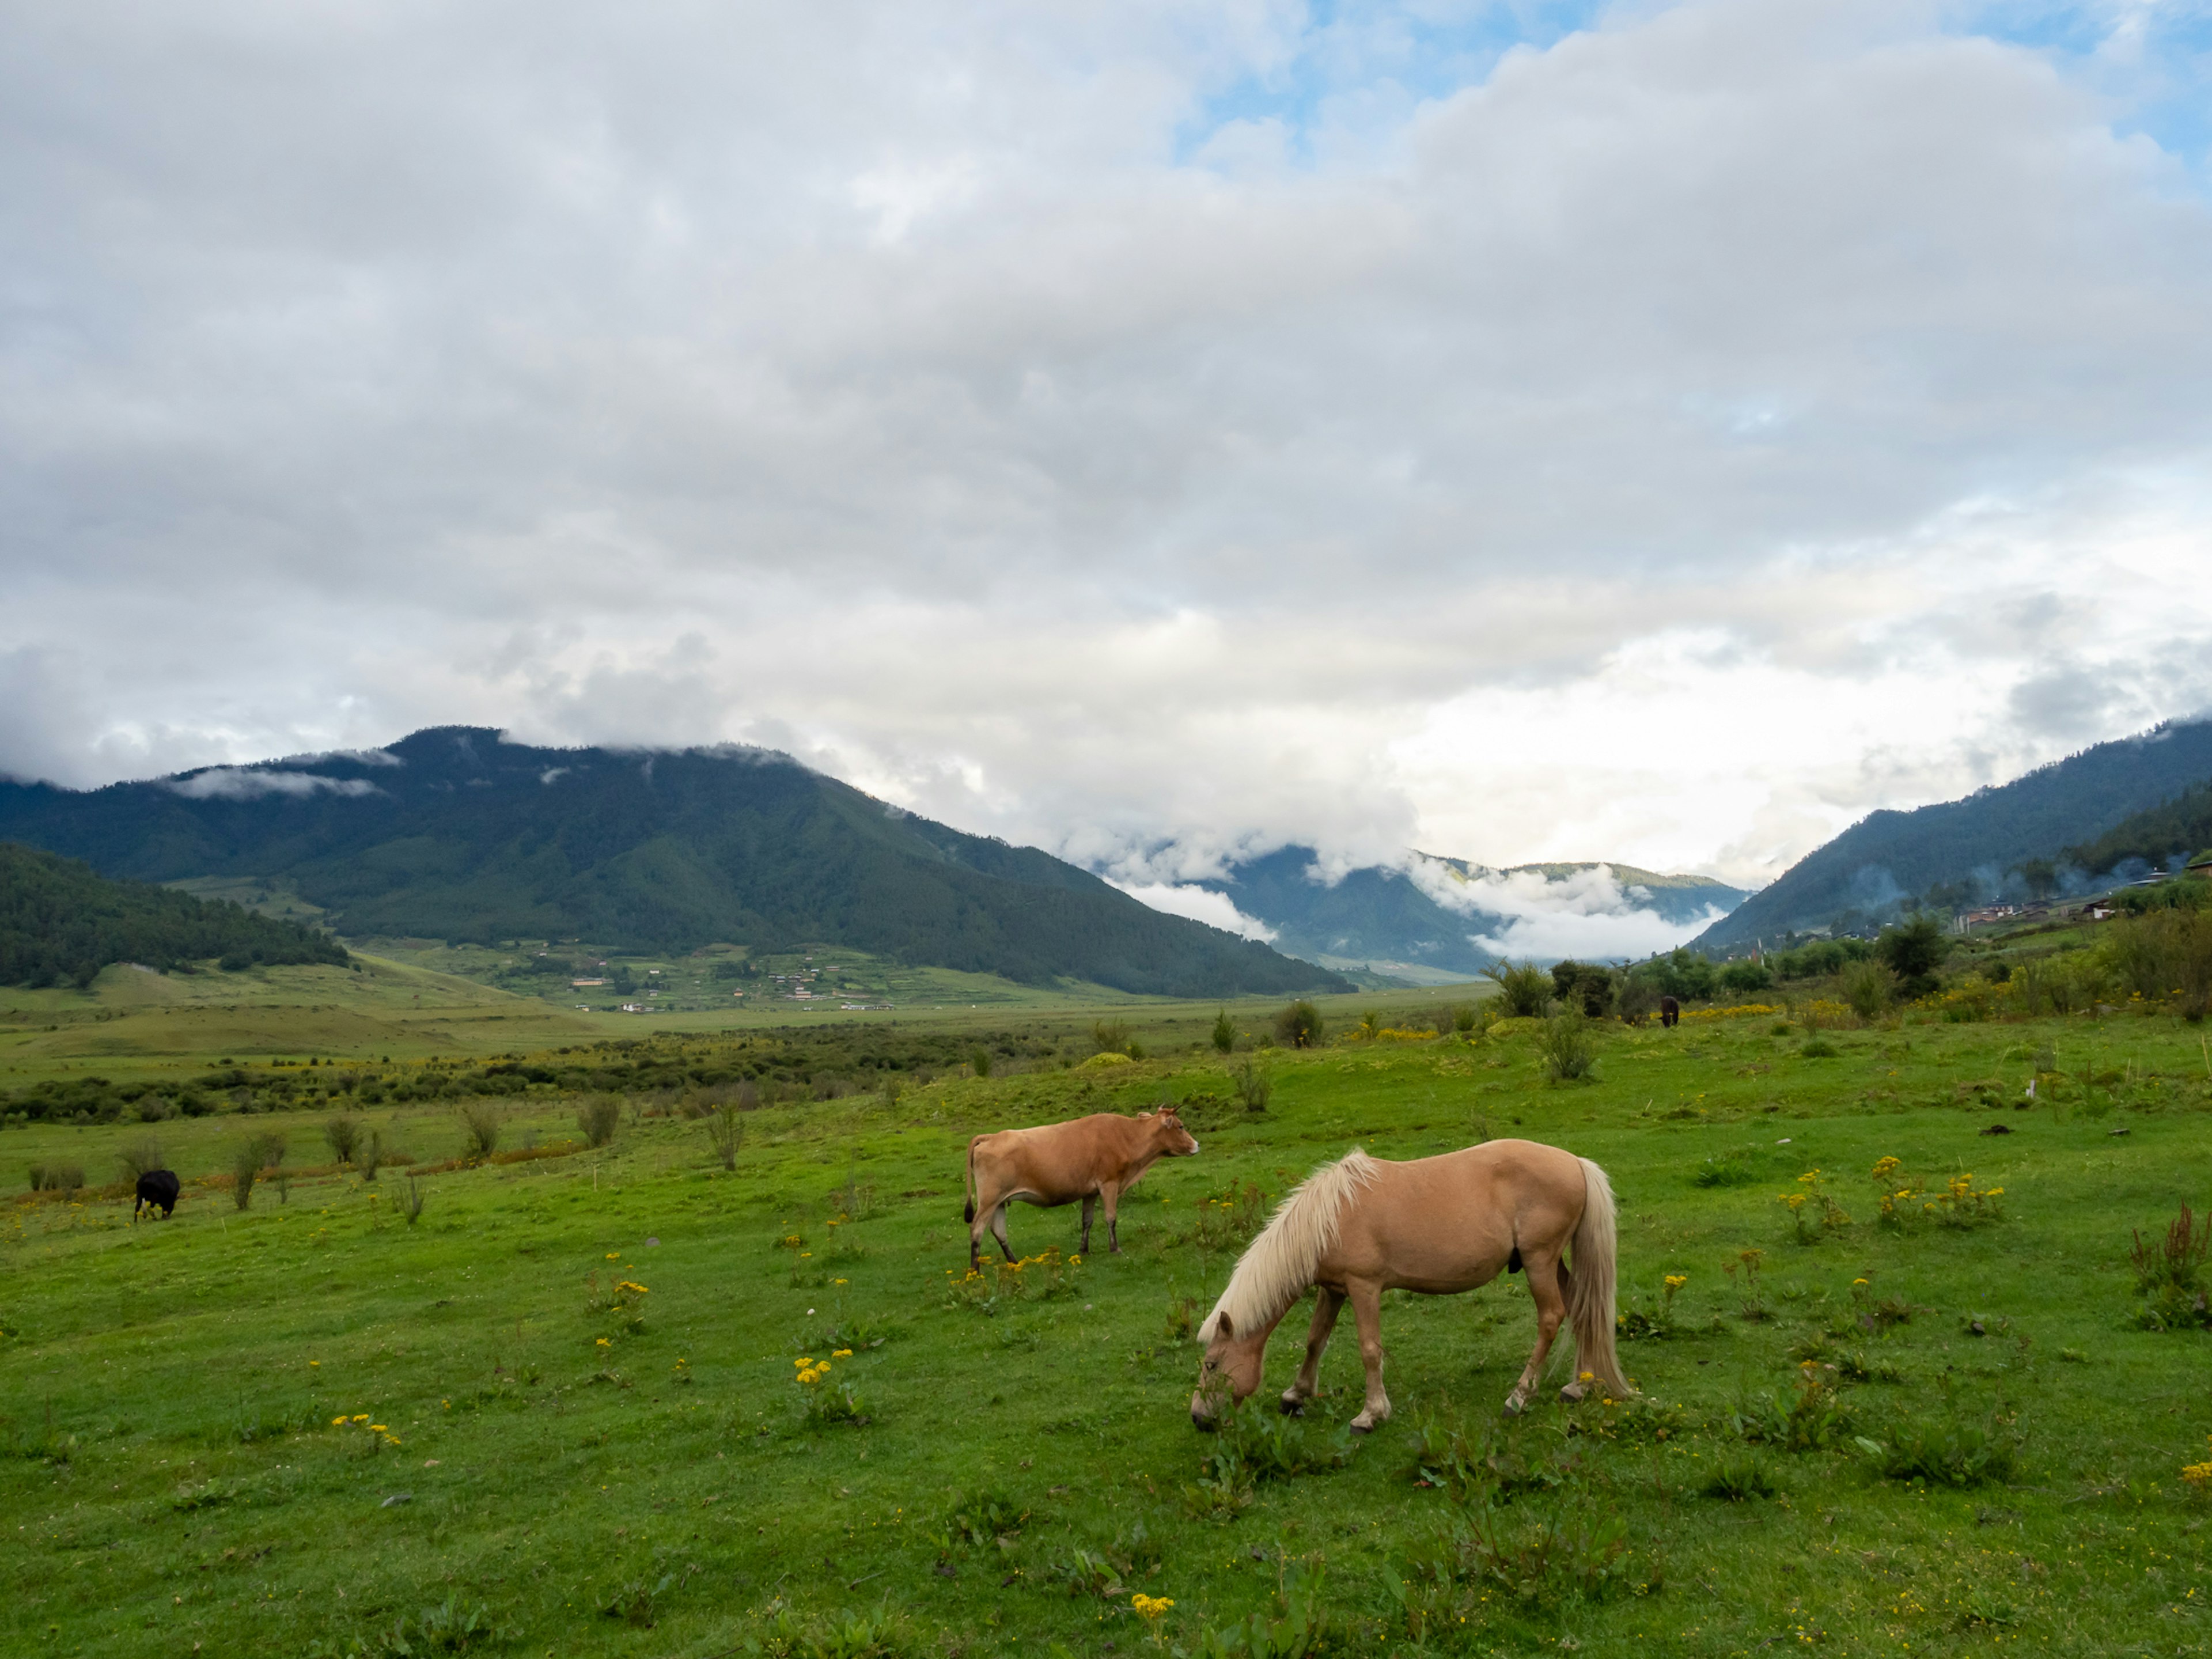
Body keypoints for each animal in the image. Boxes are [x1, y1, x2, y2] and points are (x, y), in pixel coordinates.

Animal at [968, 1119, 1203, 1274]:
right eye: (1181, 1127)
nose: (1197, 1144)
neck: (1126, 1134)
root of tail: (991, 1136)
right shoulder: (1109, 1184)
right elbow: (1110, 1218)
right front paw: (1115, 1248)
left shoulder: (1090, 1192)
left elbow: (1087, 1221)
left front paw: (1084, 1250)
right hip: (988, 1201)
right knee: (977, 1229)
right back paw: (975, 1269)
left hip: (999, 1202)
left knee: (999, 1231)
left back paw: (1014, 1262)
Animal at [1194, 1141, 1628, 1433]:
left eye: (1211, 1364)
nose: (1199, 1418)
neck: (1331, 1218)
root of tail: (1576, 1162)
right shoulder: (1333, 1290)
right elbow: (1316, 1340)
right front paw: (1295, 1395)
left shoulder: (1364, 1288)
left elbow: (1370, 1350)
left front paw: (1370, 1414)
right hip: (1553, 1263)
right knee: (1582, 1308)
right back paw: (1578, 1386)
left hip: (1540, 1262)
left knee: (1552, 1318)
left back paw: (1519, 1396)